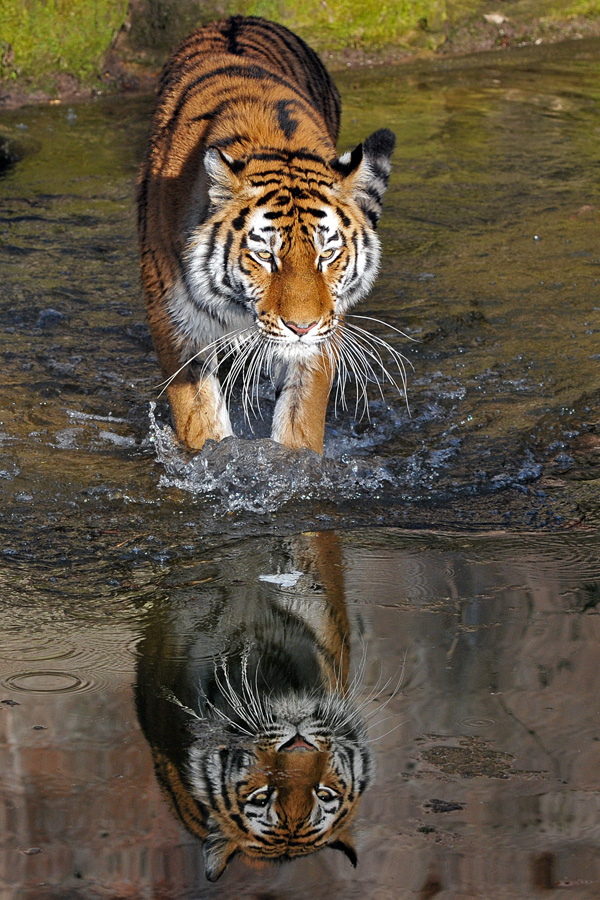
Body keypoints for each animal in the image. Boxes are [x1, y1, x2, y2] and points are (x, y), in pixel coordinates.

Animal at [138, 19, 396, 458]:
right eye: (264, 256)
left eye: (328, 254)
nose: (301, 327)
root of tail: (237, 18)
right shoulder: (174, 322)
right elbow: (199, 419)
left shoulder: (324, 330)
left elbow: (299, 420)